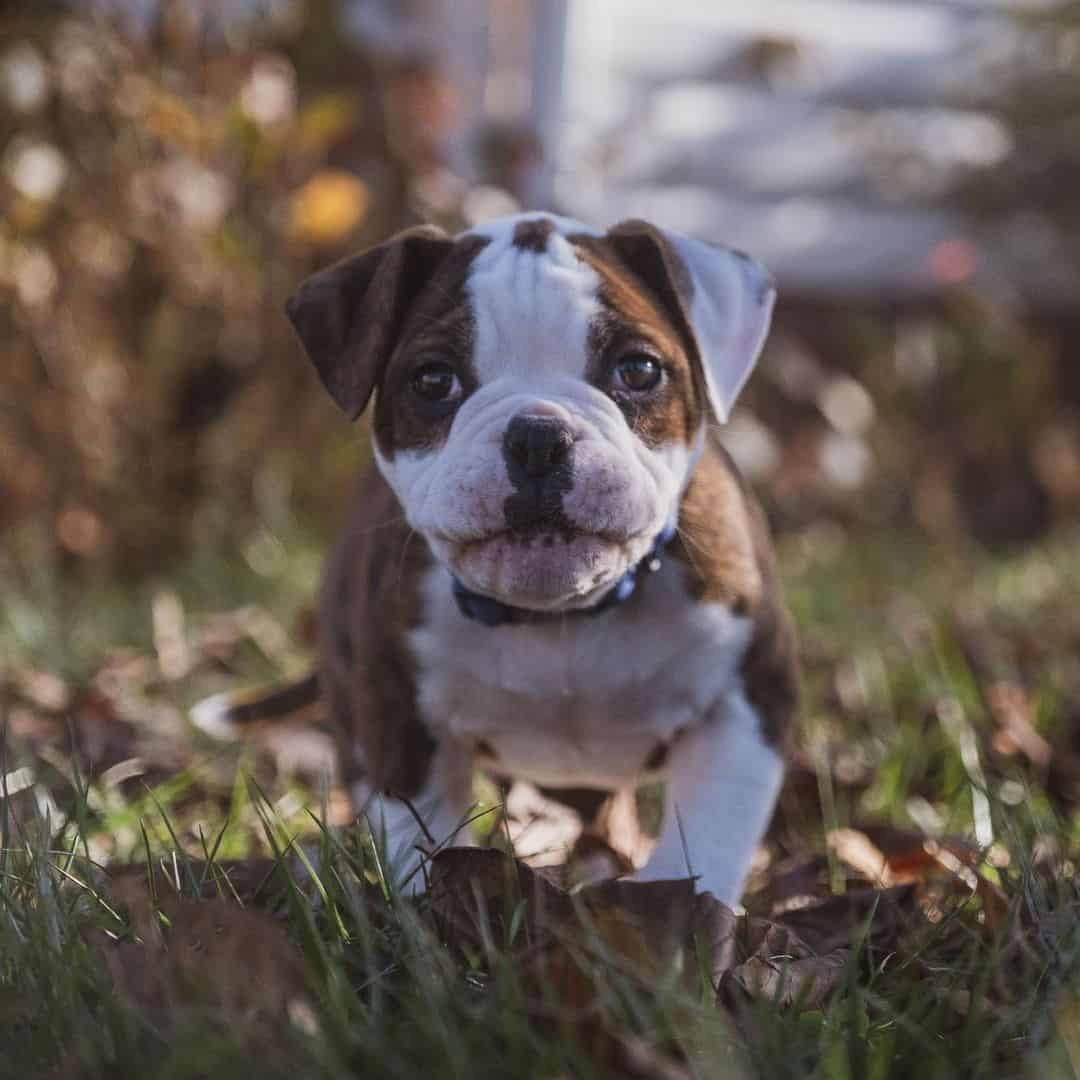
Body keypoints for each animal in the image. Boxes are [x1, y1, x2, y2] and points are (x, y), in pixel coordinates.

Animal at [223, 210, 799, 902]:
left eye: (638, 371)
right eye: (433, 380)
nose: (539, 437)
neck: (560, 618)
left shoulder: (745, 705)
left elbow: (707, 841)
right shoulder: (401, 720)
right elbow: (419, 836)